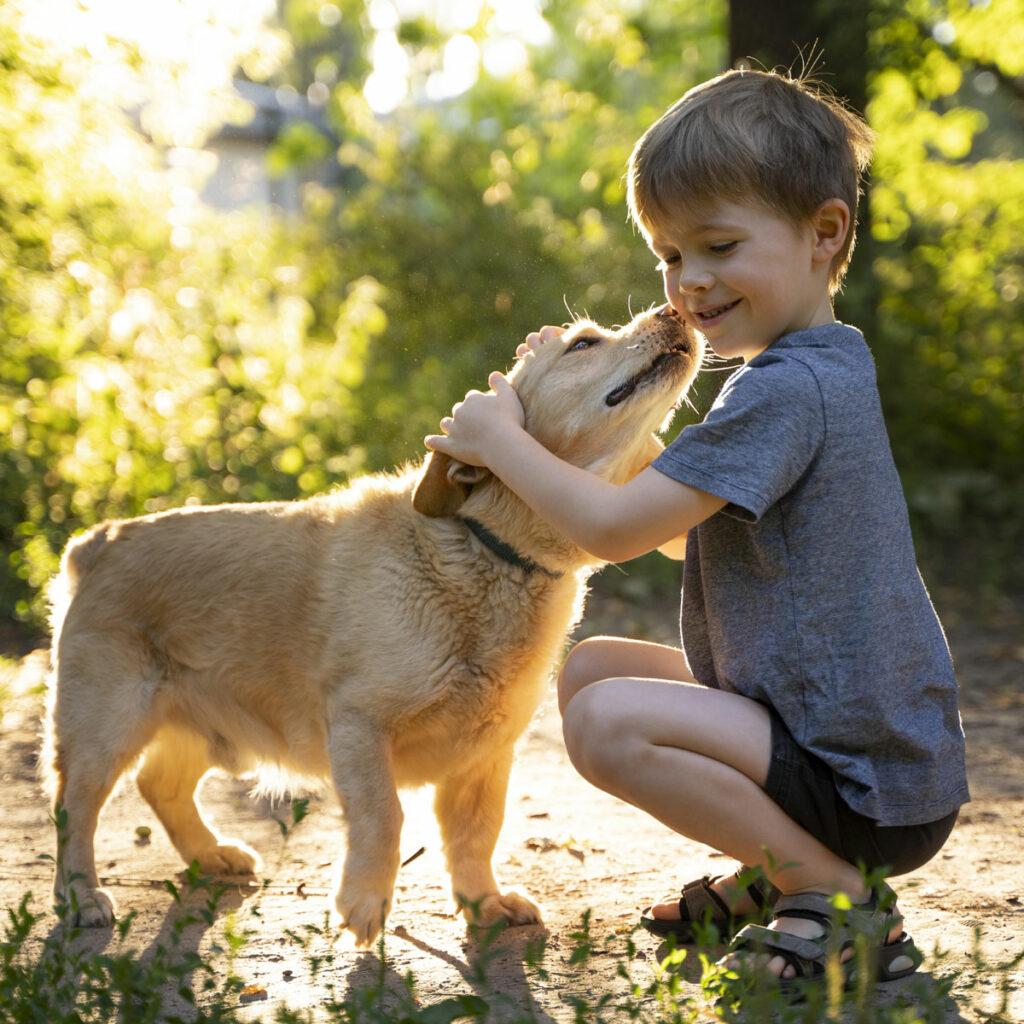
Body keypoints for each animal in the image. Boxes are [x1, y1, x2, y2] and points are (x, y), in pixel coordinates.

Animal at [44, 303, 700, 942]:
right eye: (583, 343)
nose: (677, 310)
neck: (486, 551)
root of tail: (98, 540)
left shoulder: (487, 754)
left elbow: (476, 834)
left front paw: (482, 903)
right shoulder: (359, 726)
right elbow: (384, 818)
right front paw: (364, 902)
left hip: (206, 728)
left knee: (162, 786)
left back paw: (211, 855)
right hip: (105, 728)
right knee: (75, 810)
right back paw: (81, 897)